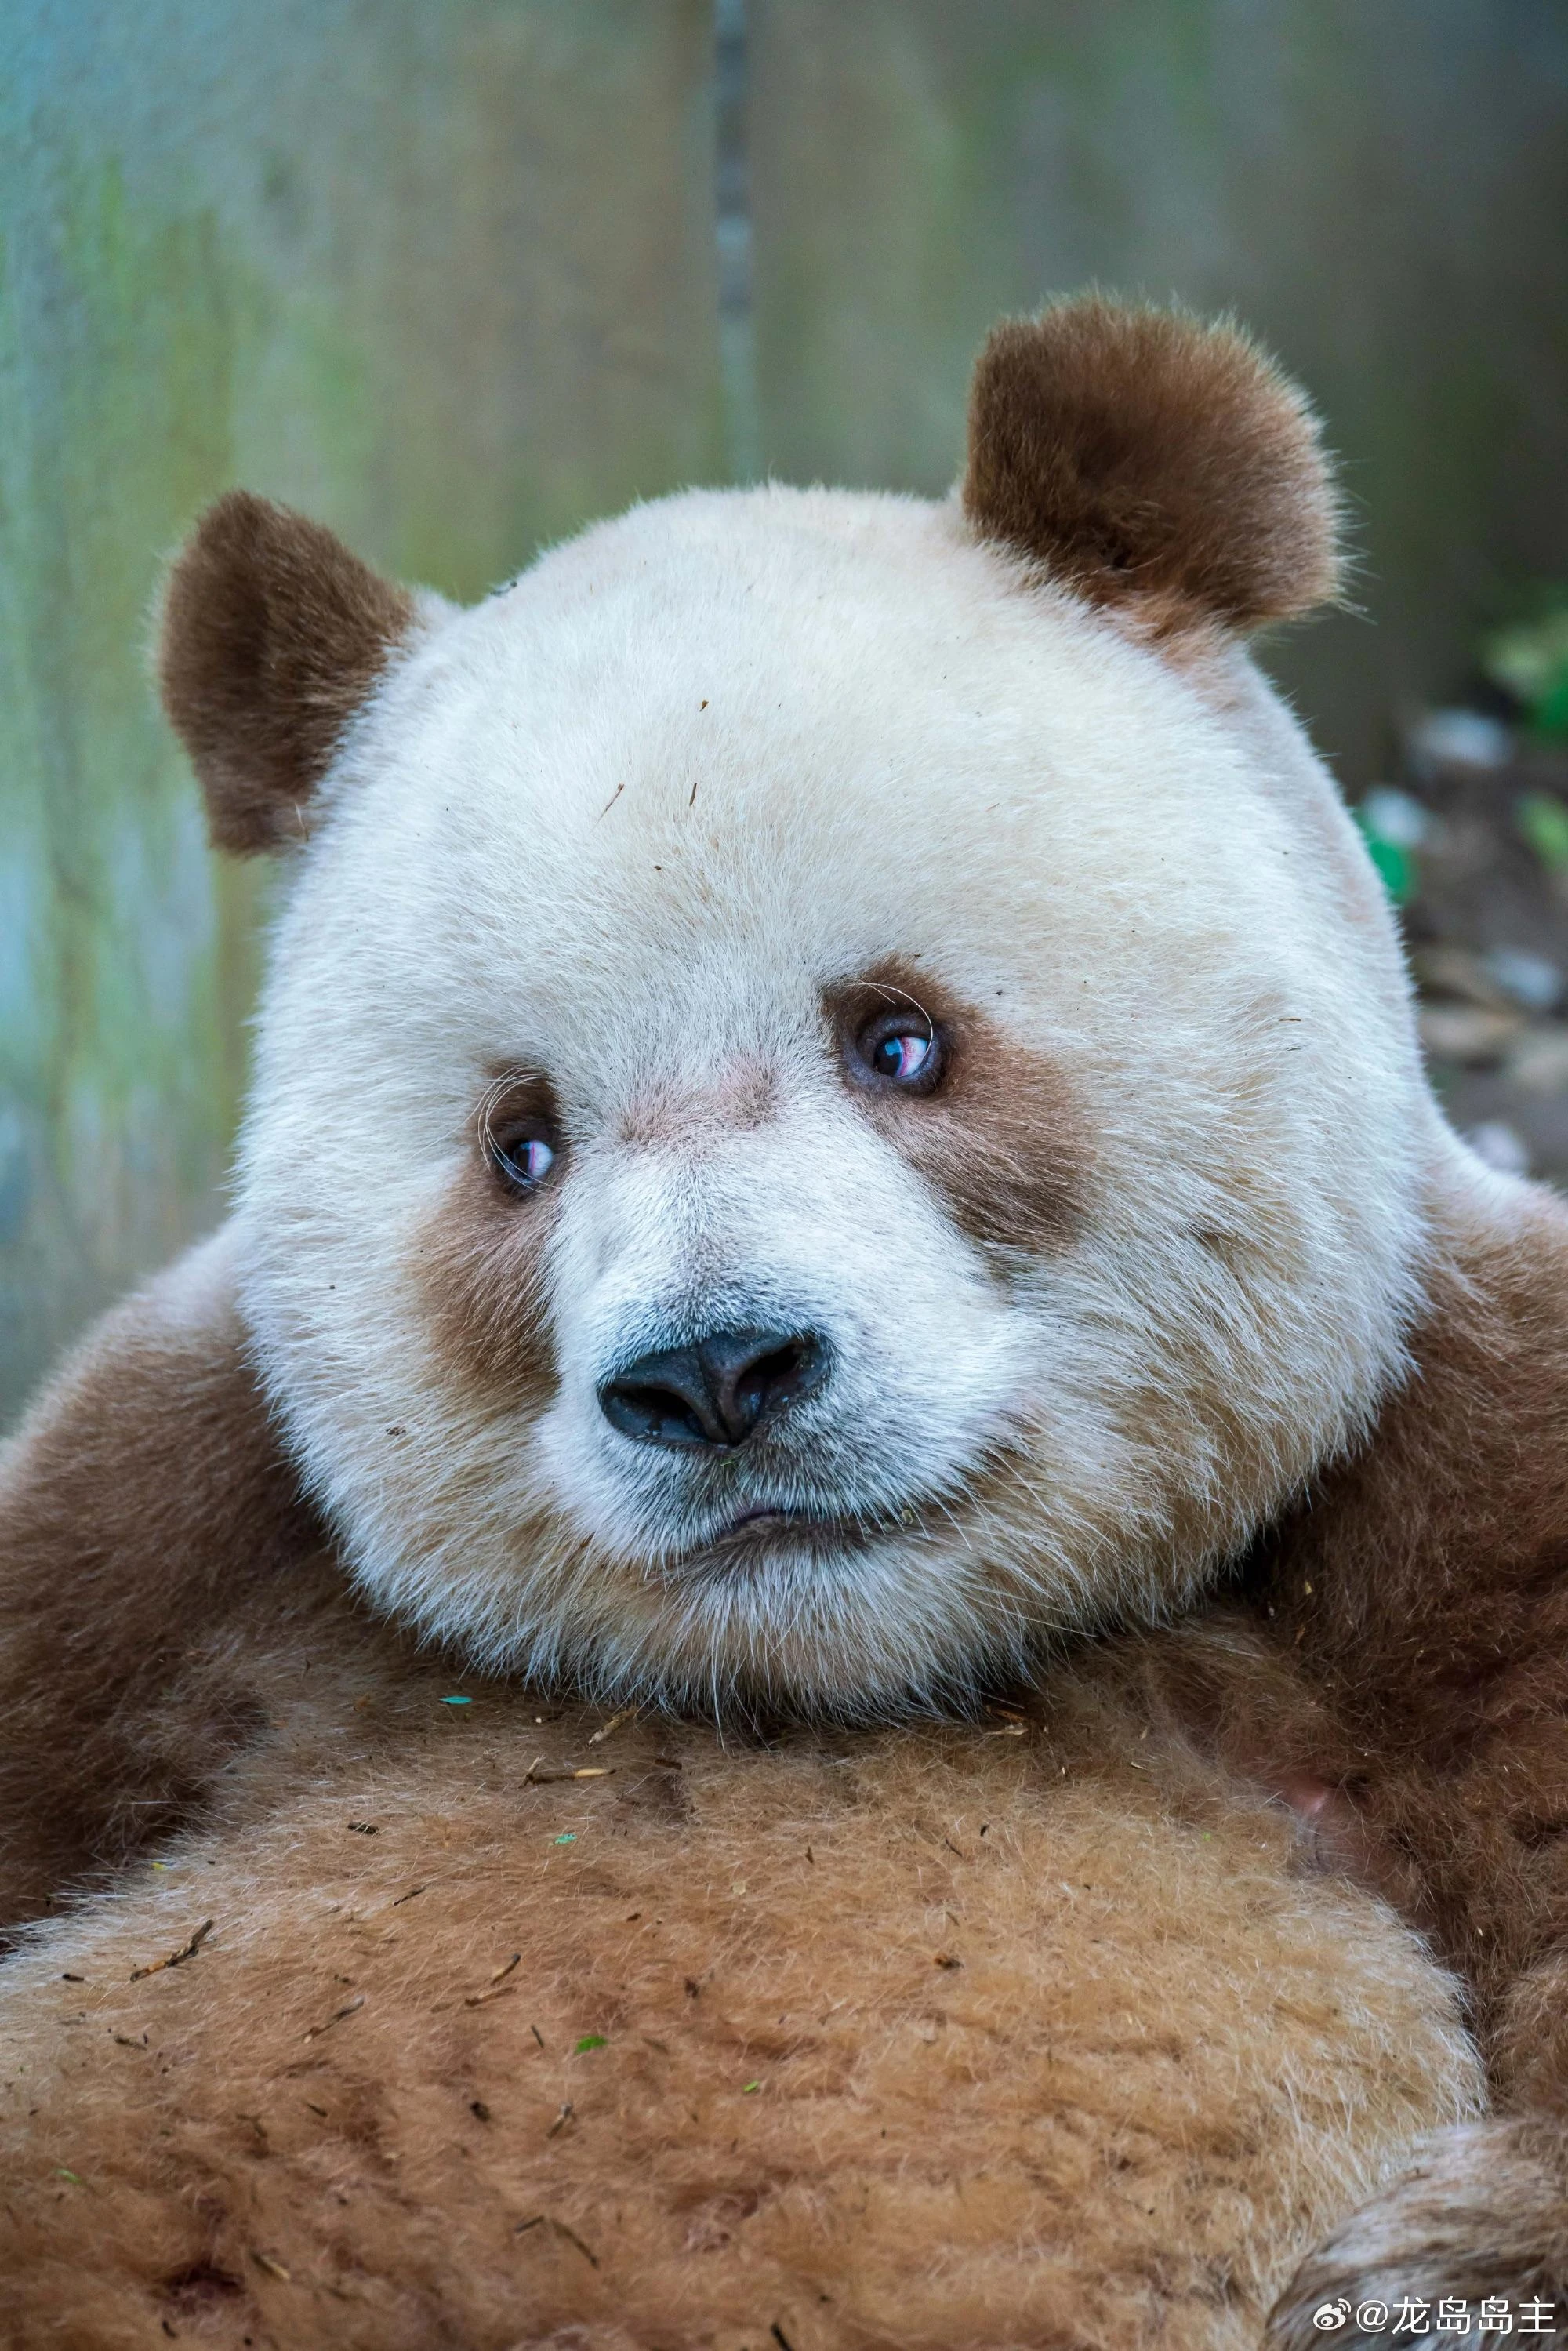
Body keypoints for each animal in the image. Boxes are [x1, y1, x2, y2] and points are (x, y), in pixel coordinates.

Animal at [0, 299, 1564, 2347]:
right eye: (521, 1145)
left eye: (897, 1039)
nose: (714, 1373)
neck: (847, 1679)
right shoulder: (161, 1530)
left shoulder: (1453, 1495)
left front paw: (1420, 2249)